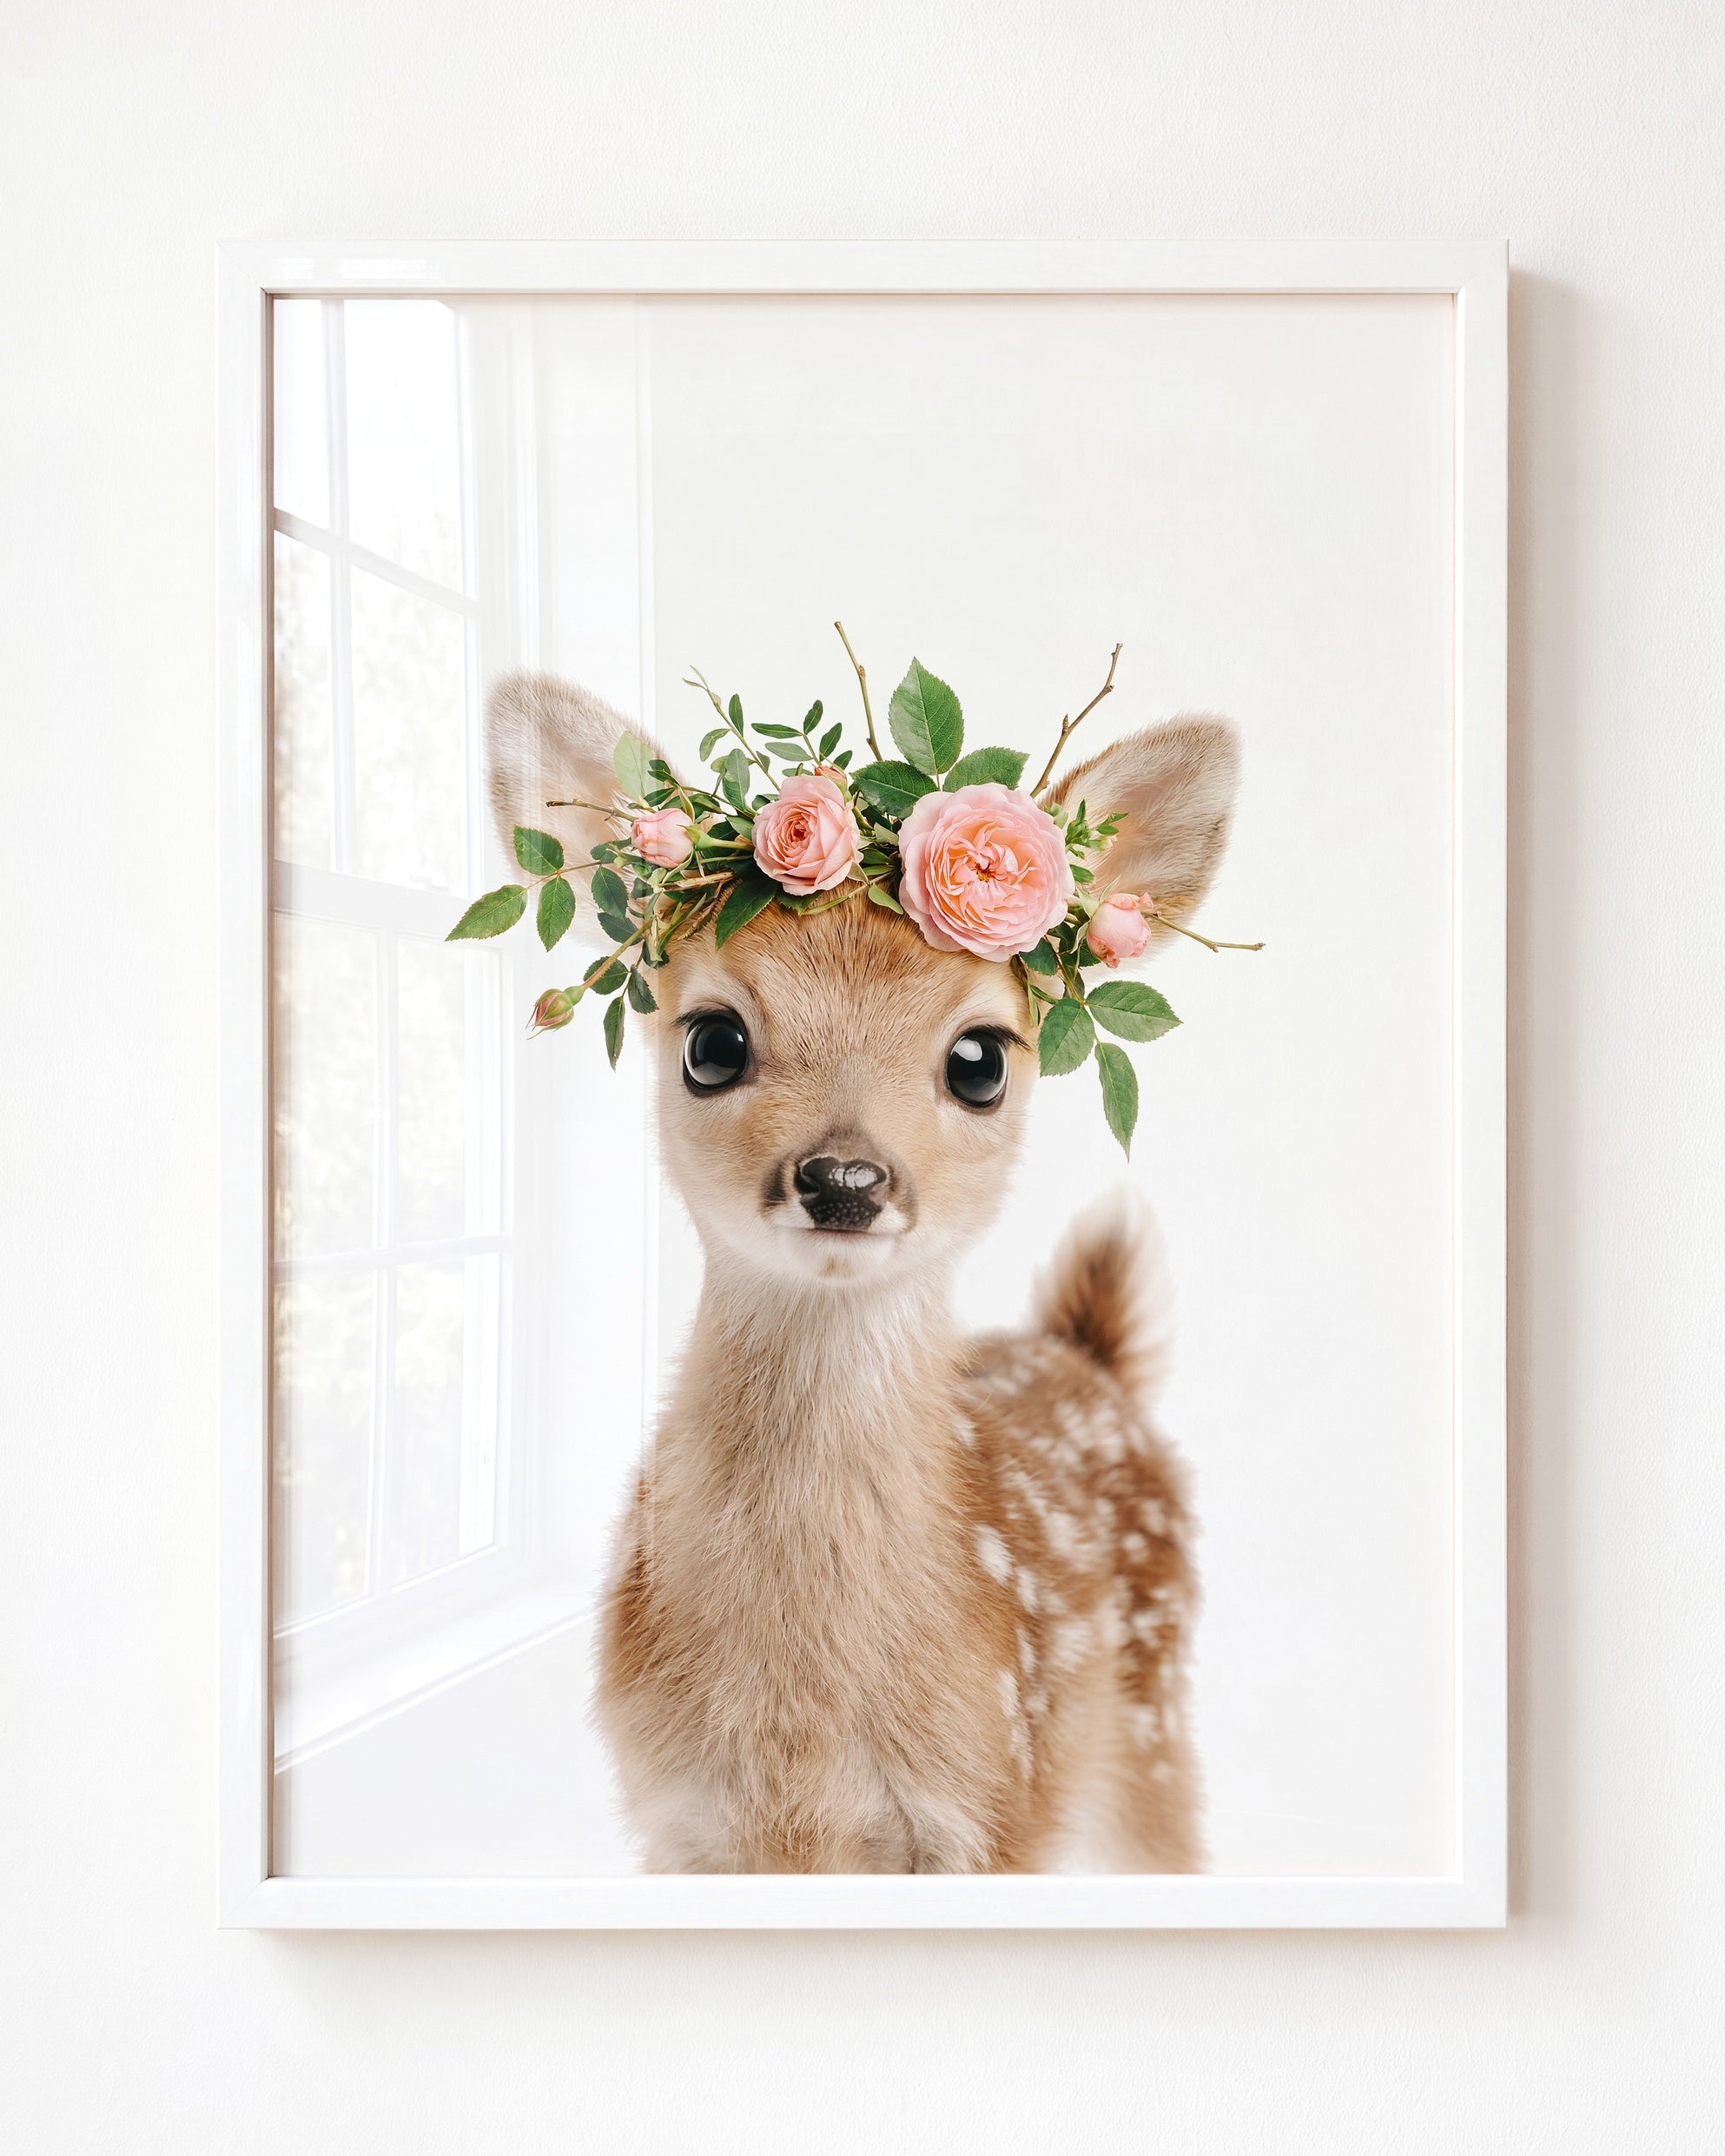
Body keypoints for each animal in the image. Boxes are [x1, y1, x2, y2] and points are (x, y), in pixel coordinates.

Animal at [485, 669, 1240, 1872]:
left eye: (980, 1059)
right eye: (711, 1042)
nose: (843, 1177)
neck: (801, 1739)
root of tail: (1088, 1355)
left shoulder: (992, 1805)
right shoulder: (679, 1820)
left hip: (1149, 1733)